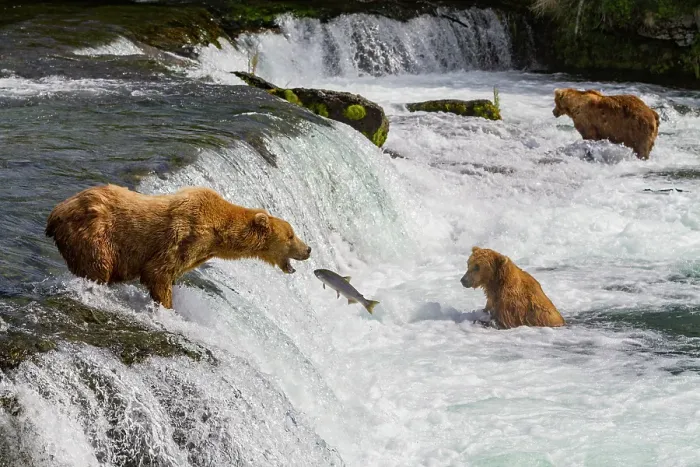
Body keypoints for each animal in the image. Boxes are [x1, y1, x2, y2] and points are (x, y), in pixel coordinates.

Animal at [46, 184, 311, 309]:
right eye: (291, 235)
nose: (308, 249)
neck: (218, 234)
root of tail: (56, 212)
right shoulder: (187, 235)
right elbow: (158, 272)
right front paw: (167, 307)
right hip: (94, 235)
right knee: (98, 266)